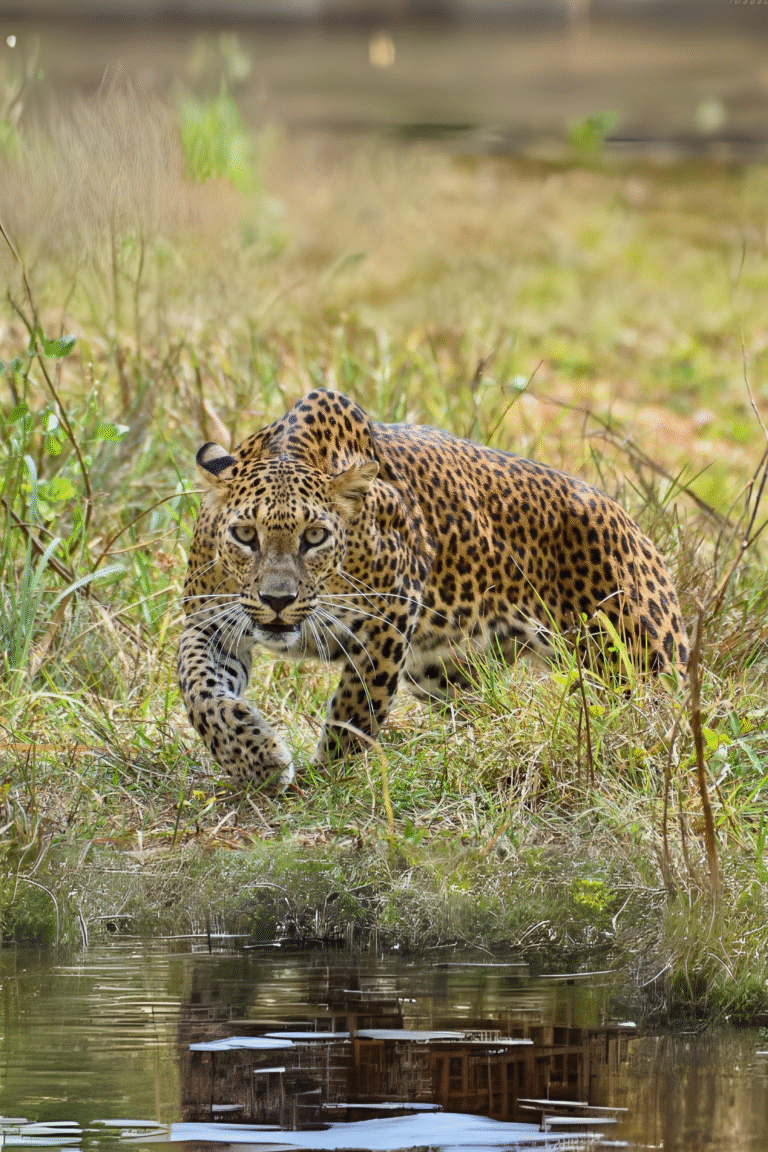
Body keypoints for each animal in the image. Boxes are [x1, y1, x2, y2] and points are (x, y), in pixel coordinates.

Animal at [177, 388, 688, 790]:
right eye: (246, 535)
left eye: (315, 536)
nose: (278, 601)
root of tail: (634, 525)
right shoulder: (209, 622)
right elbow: (199, 689)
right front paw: (255, 758)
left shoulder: (388, 621)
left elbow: (356, 709)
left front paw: (325, 777)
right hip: (445, 671)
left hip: (639, 661)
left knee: (663, 720)